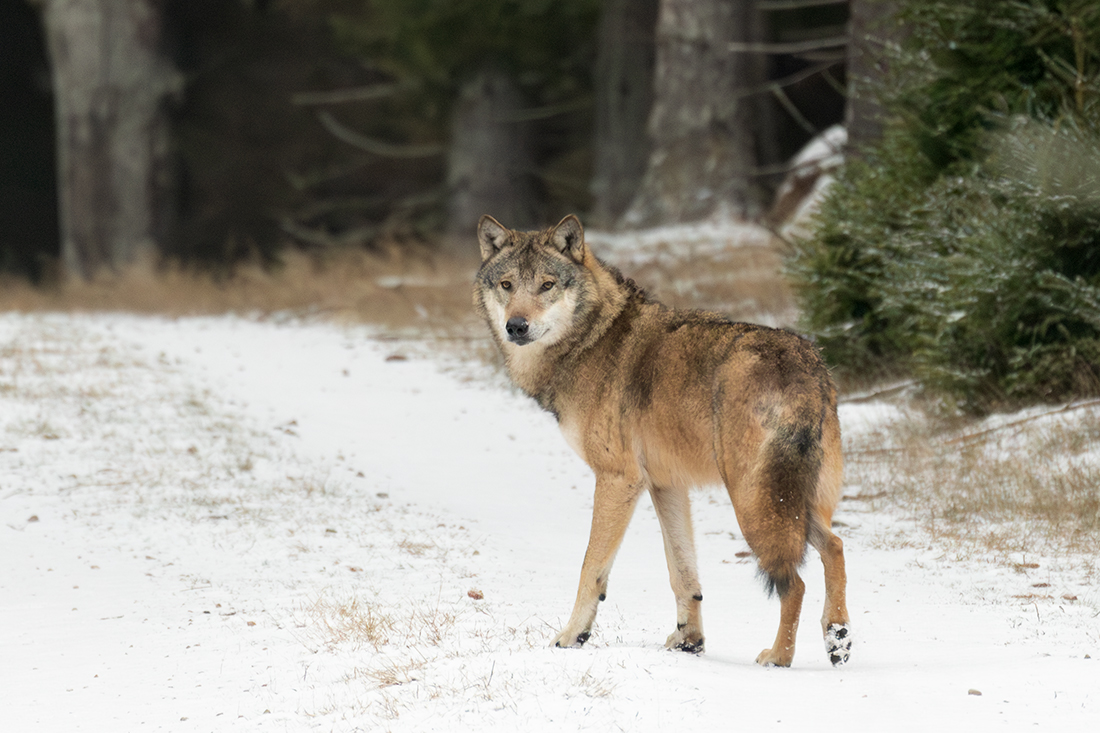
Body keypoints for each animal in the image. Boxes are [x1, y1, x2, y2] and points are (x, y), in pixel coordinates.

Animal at [473, 214, 851, 667]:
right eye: (507, 285)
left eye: (547, 285)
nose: (516, 326)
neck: (590, 340)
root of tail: (803, 362)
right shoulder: (666, 485)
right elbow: (682, 573)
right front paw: (689, 642)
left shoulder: (618, 479)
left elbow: (590, 567)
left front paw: (571, 636)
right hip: (792, 501)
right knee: (836, 547)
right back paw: (838, 638)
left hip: (752, 501)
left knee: (794, 582)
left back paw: (778, 657)